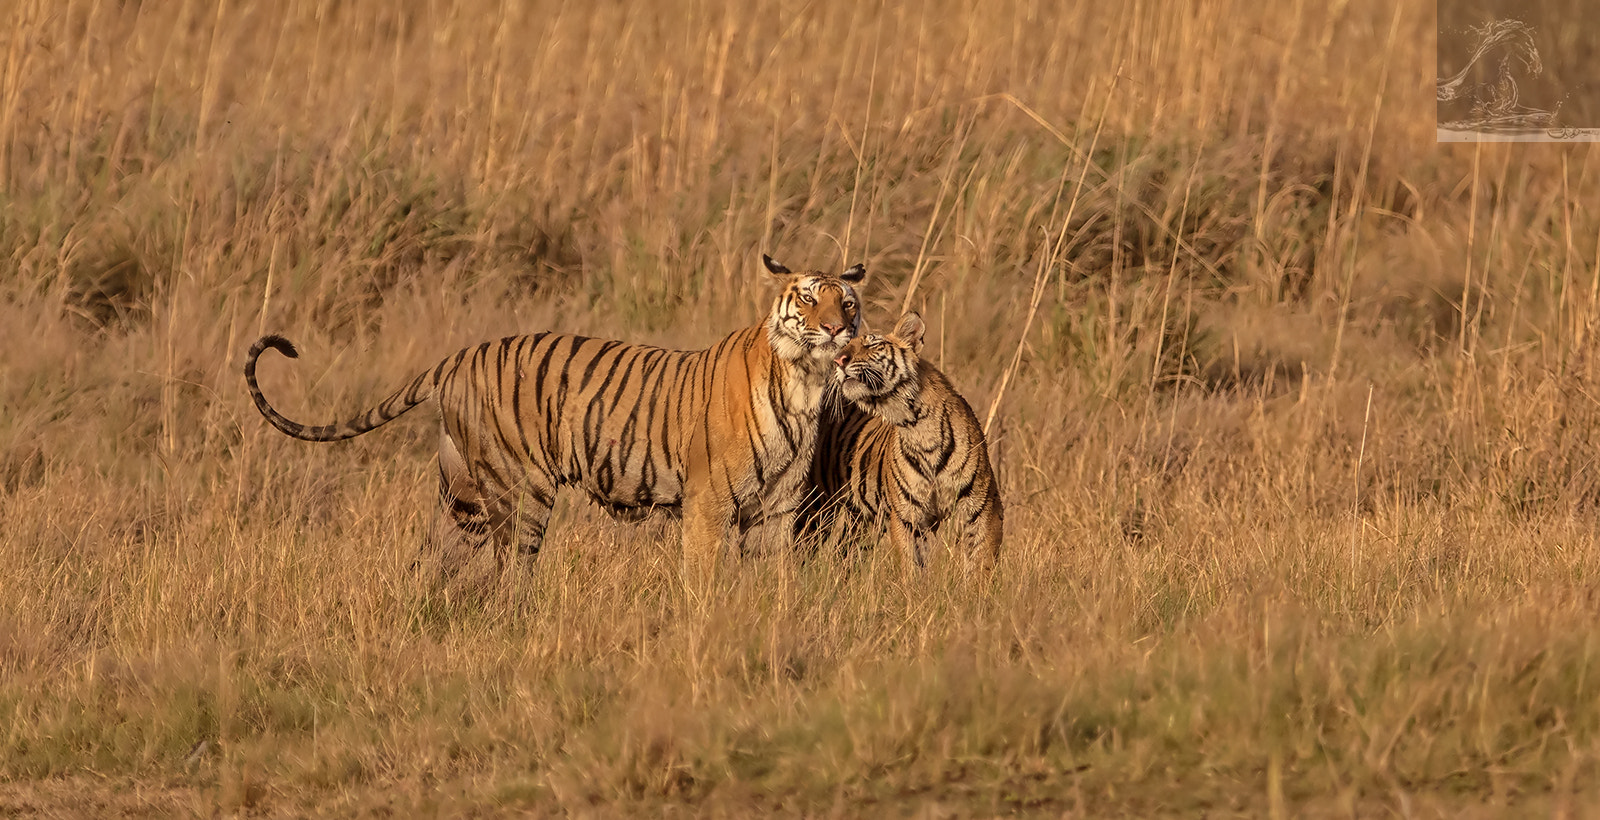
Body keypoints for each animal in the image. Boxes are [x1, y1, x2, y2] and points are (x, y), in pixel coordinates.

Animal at [241, 253, 864, 586]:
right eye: (808, 300)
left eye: (849, 302)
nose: (837, 328)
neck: (804, 380)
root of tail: (456, 357)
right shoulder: (709, 501)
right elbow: (704, 576)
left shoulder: (776, 508)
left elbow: (771, 577)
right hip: (522, 491)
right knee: (509, 572)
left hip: (461, 498)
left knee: (434, 562)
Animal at [800, 312, 998, 570]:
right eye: (844, 347)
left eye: (872, 344)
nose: (838, 361)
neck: (917, 427)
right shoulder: (907, 517)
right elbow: (910, 566)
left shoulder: (983, 509)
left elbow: (982, 562)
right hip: (816, 504)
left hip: (858, 521)